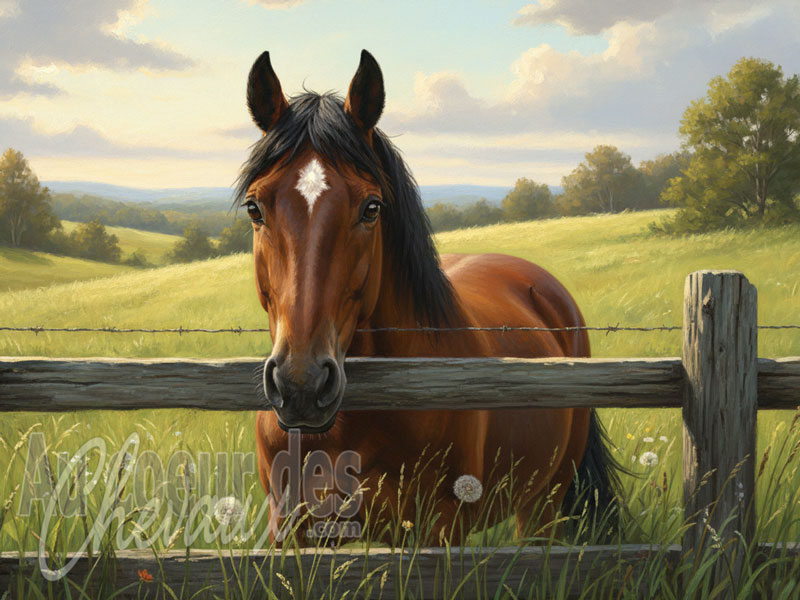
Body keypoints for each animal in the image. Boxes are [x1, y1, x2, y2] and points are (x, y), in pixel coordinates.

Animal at [236, 50, 619, 544]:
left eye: (372, 208)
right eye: (254, 207)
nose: (300, 386)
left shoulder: (436, 530)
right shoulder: (289, 528)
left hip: (543, 503)